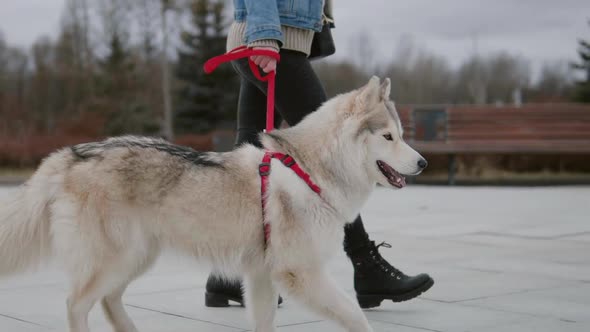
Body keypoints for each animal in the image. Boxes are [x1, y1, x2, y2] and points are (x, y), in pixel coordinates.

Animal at [0, 77, 426, 332]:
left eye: (401, 135)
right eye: (389, 137)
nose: (423, 163)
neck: (310, 170)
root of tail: (69, 154)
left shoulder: (261, 278)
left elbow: (265, 324)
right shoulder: (299, 273)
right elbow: (356, 316)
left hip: (135, 259)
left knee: (108, 301)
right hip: (115, 260)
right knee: (76, 304)